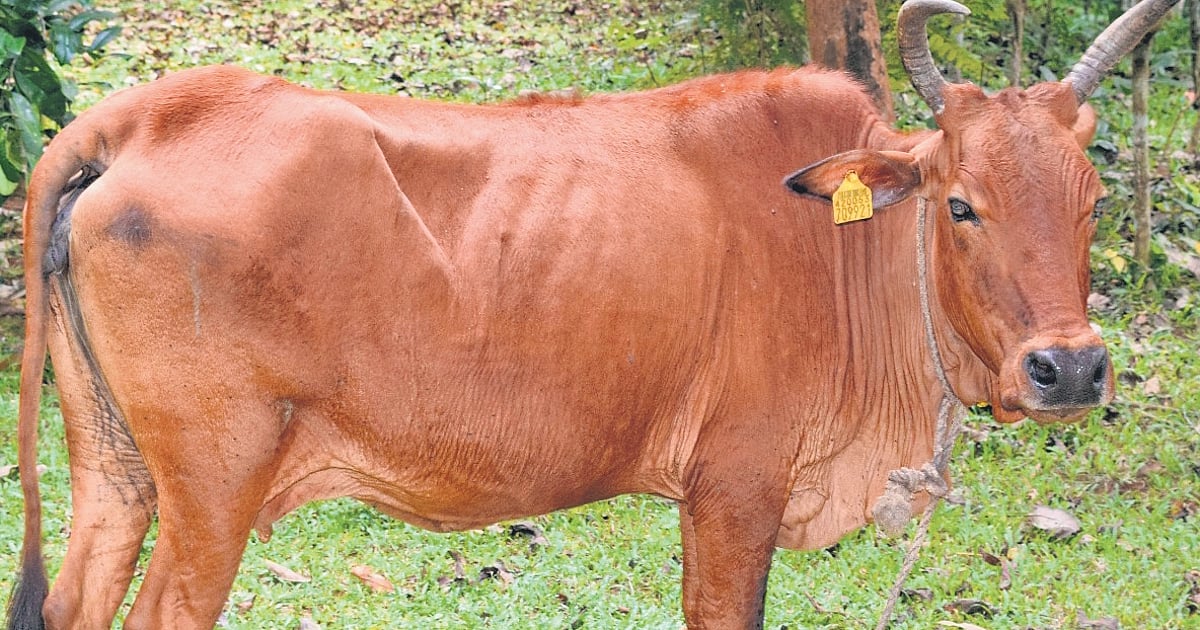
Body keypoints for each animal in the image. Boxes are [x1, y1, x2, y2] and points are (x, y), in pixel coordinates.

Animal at [5, 0, 1175, 627]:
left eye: (1091, 201)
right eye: (962, 203)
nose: (1071, 368)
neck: (846, 254)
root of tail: (141, 116)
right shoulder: (733, 490)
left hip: (115, 470)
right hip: (214, 486)